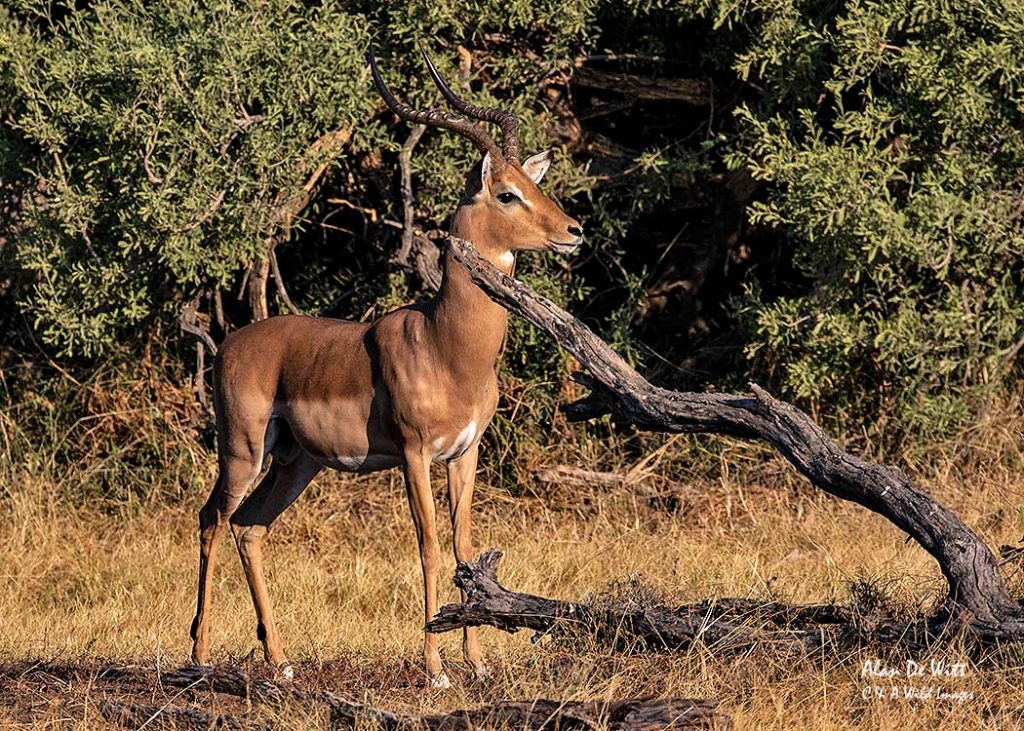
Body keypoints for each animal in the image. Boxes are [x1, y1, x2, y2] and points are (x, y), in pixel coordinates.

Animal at [188, 45, 583, 688]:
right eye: (505, 193)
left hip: (298, 463)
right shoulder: (415, 453)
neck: (445, 345)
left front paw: (476, 665)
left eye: (532, 183)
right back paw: (197, 654)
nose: (573, 231)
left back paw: (280, 661)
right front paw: (436, 669)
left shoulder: (465, 453)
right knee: (210, 519)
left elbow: (465, 550)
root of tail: (230, 344)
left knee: (250, 528)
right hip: (243, 450)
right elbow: (428, 546)